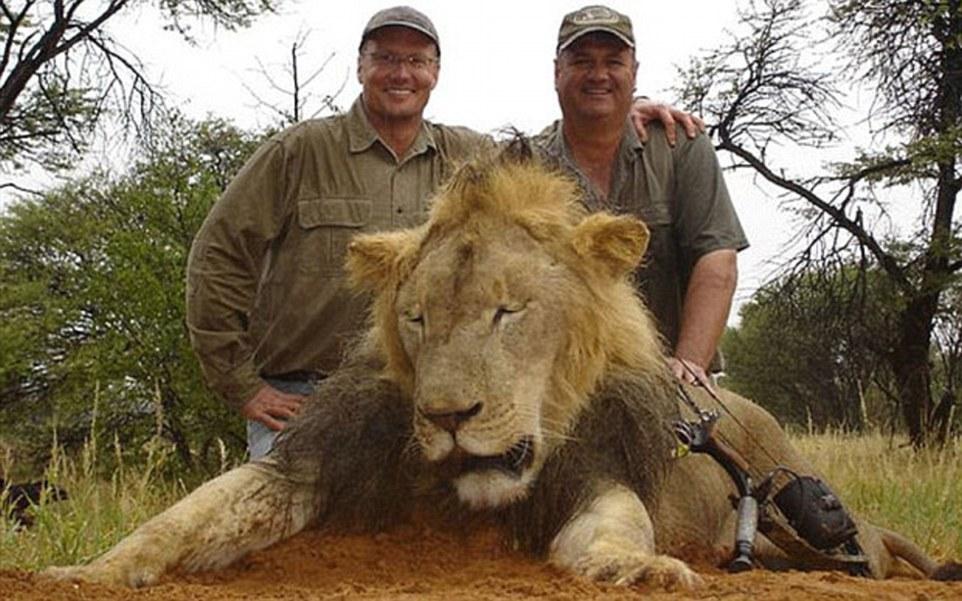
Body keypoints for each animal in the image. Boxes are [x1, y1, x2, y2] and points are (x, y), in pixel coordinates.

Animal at [43, 150, 960, 584]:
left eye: (507, 311)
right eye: (418, 319)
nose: (449, 417)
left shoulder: (595, 469)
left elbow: (614, 526)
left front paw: (641, 569)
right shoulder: (320, 461)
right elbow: (184, 517)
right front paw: (89, 568)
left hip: (818, 506)